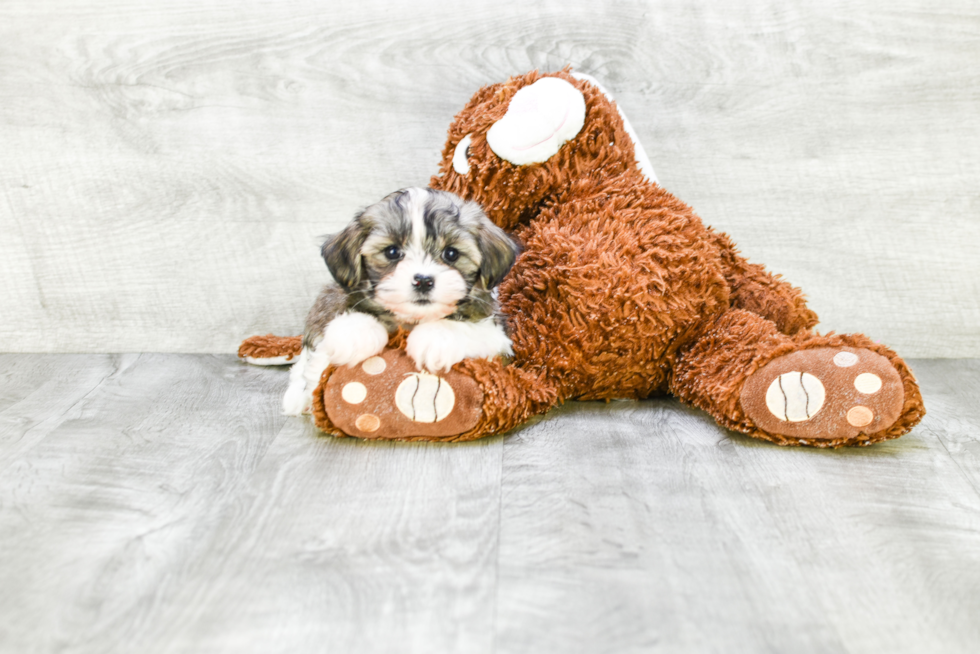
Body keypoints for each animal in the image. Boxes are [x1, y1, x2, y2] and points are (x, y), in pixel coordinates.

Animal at [284, 187, 520, 418]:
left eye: (451, 253)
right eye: (392, 252)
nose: (423, 280)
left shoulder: (498, 336)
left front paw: (434, 338)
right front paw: (355, 334)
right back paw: (297, 399)